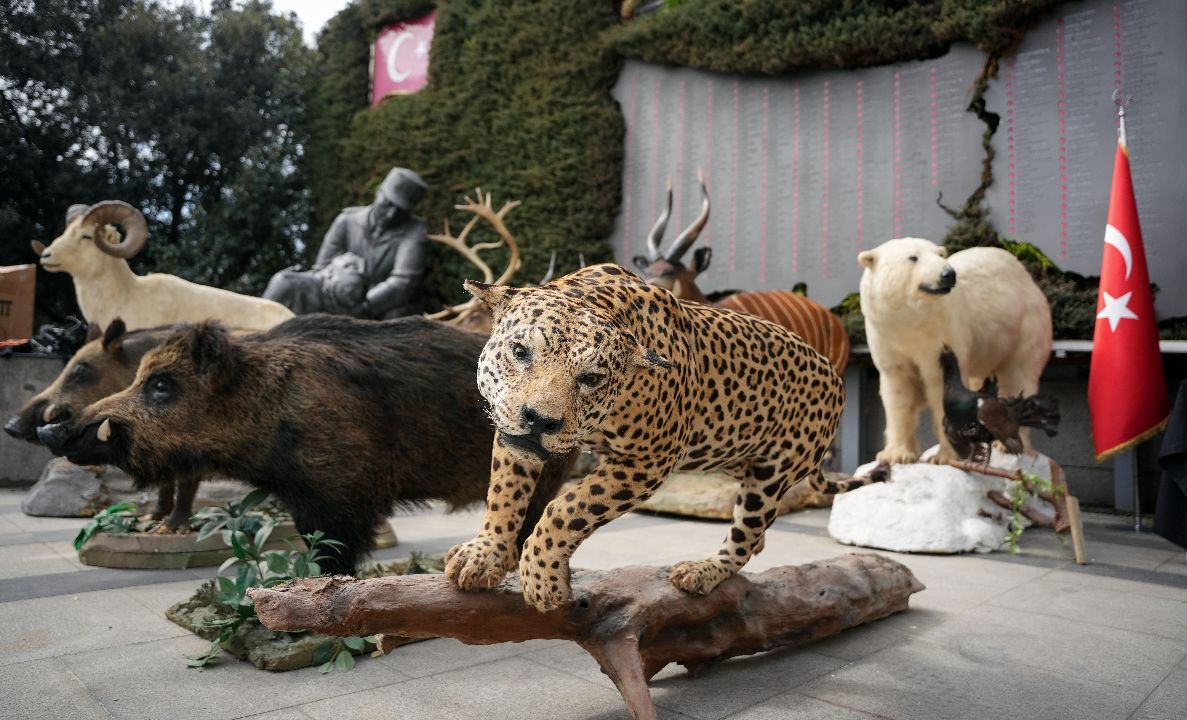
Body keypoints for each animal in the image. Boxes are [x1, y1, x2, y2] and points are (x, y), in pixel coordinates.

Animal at [444, 263, 848, 612]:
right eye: (520, 352)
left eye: (591, 378)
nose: (541, 421)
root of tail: (834, 376)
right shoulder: (510, 432)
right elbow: (505, 493)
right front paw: (485, 555)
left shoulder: (649, 461)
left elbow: (568, 508)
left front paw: (543, 578)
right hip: (733, 455)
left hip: (770, 474)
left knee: (745, 535)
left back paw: (702, 572)